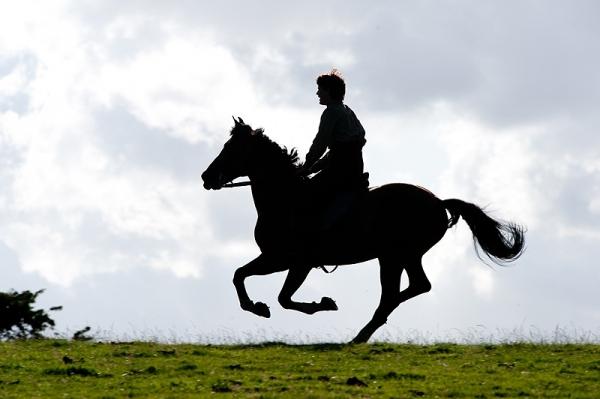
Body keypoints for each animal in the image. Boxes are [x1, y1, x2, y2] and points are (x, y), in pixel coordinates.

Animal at [202, 118, 524, 344]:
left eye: (231, 149)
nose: (206, 177)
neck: (286, 198)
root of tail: (438, 202)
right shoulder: (276, 259)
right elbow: (240, 275)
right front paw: (257, 307)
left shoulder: (292, 261)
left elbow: (280, 296)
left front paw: (319, 304)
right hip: (400, 257)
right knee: (413, 287)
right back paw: (366, 331)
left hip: (395, 256)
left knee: (396, 293)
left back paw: (361, 333)